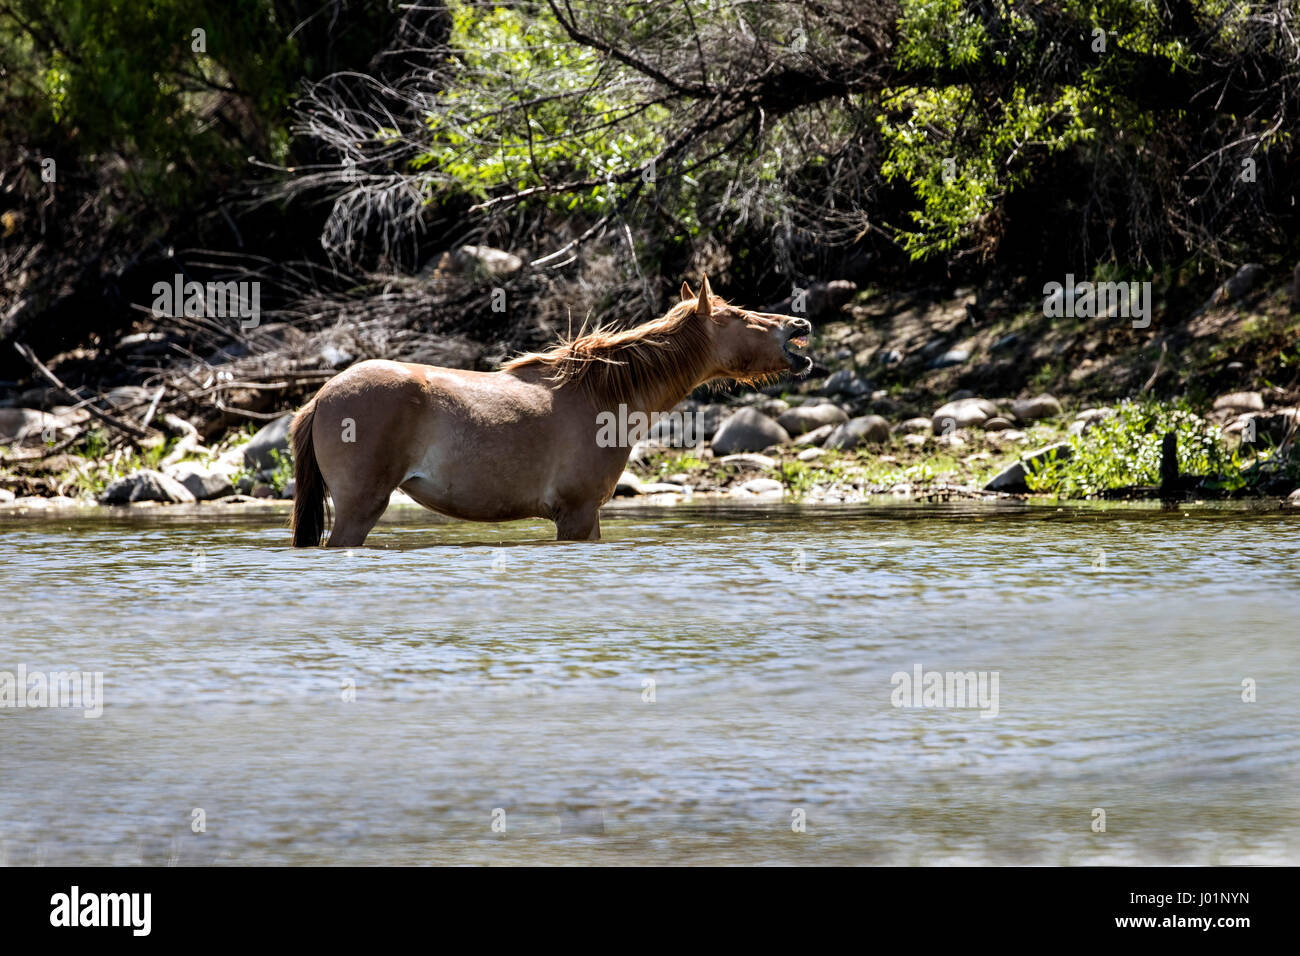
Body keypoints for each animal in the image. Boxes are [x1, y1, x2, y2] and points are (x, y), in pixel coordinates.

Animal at [289, 273, 806, 548]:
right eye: (738, 315)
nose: (799, 323)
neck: (601, 395)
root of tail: (322, 395)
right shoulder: (576, 513)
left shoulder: (585, 516)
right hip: (359, 508)